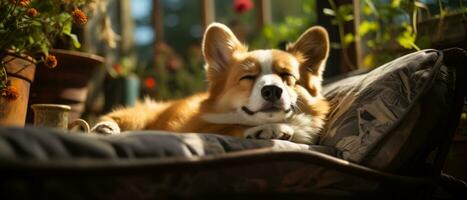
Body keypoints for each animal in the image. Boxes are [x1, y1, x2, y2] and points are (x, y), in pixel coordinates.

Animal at [92, 22, 330, 145]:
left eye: (287, 75)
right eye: (247, 77)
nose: (272, 90)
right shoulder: (199, 127)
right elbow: (231, 127)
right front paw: (268, 129)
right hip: (140, 117)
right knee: (115, 118)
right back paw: (105, 127)